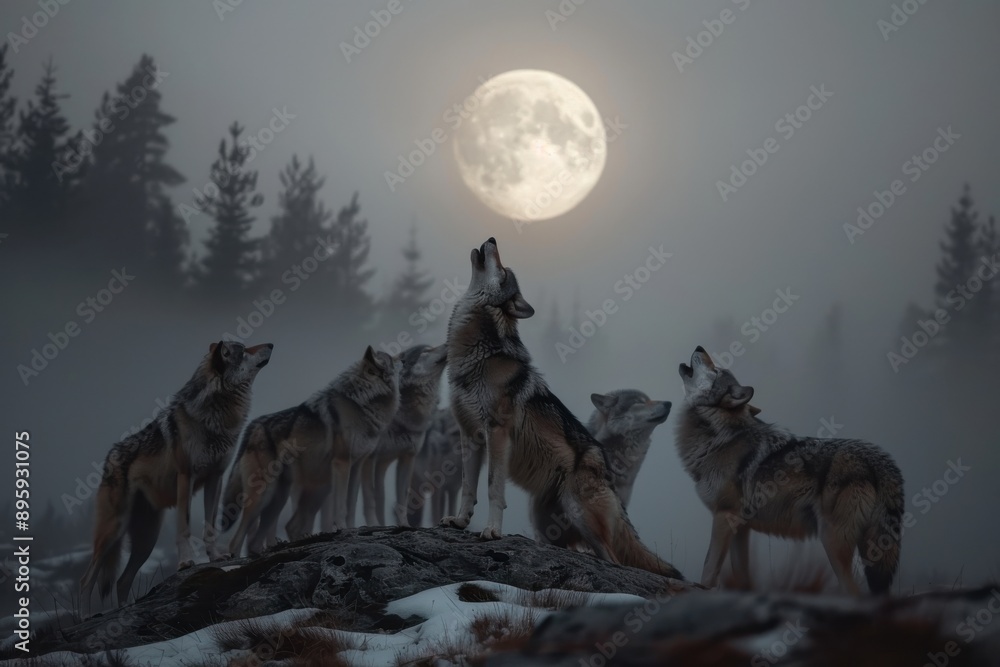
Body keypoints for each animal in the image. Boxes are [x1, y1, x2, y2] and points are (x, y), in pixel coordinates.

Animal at [80, 341, 273, 606]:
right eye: (243, 350)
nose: (271, 344)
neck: (218, 414)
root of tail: (110, 456)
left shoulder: (215, 478)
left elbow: (210, 527)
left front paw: (216, 557)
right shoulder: (186, 477)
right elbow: (185, 526)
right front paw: (185, 562)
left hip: (146, 541)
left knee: (121, 581)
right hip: (112, 532)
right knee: (86, 582)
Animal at [221, 346, 399, 556]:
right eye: (391, 358)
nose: (404, 358)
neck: (365, 400)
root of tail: (254, 426)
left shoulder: (356, 466)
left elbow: (351, 503)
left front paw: (352, 529)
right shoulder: (341, 463)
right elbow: (341, 505)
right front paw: (342, 528)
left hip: (282, 498)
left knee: (260, 539)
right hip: (264, 497)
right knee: (236, 541)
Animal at [357, 343, 447, 526]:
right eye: (427, 351)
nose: (448, 344)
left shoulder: (407, 457)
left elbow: (402, 500)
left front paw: (404, 526)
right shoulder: (370, 457)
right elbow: (370, 497)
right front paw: (373, 525)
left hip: (382, 465)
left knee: (381, 496)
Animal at [440, 238, 683, 580]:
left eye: (504, 270)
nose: (492, 239)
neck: (476, 353)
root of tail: (607, 471)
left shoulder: (496, 433)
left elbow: (492, 489)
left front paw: (492, 531)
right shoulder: (469, 435)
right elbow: (467, 487)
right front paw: (460, 521)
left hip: (582, 515)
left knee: (614, 559)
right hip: (548, 526)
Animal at [675, 346, 904, 595]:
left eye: (716, 370)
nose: (699, 347)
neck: (719, 437)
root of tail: (876, 458)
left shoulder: (724, 516)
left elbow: (708, 570)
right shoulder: (741, 527)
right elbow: (742, 576)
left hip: (832, 542)